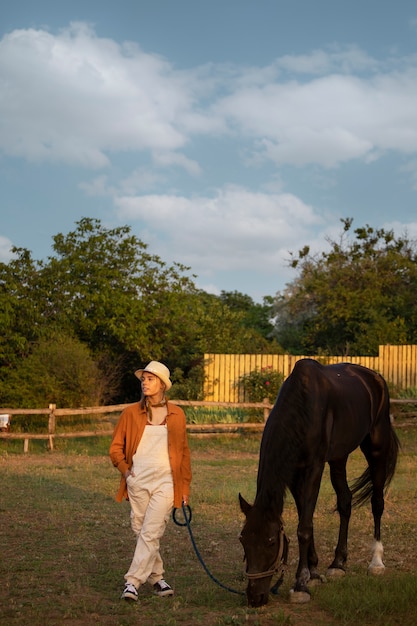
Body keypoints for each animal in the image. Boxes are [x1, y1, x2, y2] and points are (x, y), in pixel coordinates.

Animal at [239, 358, 398, 608]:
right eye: (243, 540)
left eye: (271, 541)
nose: (255, 597)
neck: (303, 406)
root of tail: (375, 378)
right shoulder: (295, 473)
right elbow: (306, 518)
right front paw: (313, 573)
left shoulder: (314, 467)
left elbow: (304, 527)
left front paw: (300, 585)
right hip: (339, 457)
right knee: (345, 501)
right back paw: (338, 563)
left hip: (376, 448)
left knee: (377, 503)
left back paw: (376, 562)